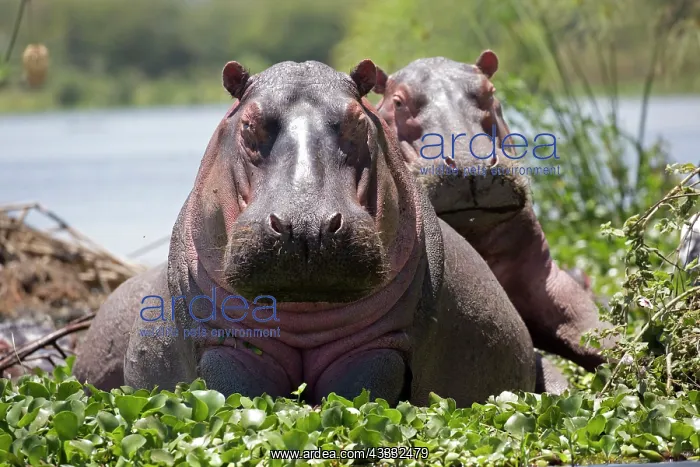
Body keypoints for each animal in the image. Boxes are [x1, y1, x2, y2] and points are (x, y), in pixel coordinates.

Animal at [73, 59, 537, 406]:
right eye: (248, 124)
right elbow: (234, 394)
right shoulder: (226, 346)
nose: (306, 225)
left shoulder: (379, 347)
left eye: (358, 121)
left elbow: (360, 395)